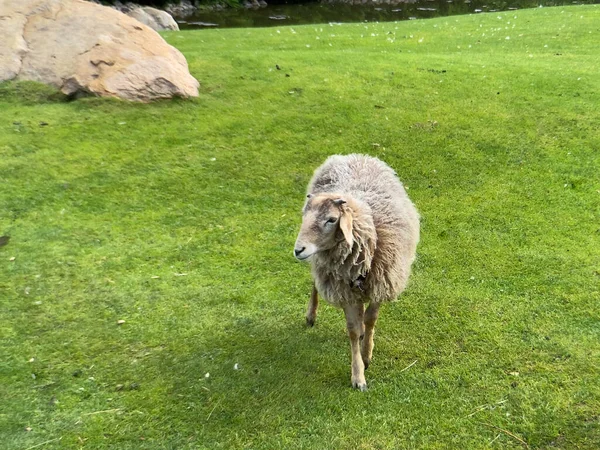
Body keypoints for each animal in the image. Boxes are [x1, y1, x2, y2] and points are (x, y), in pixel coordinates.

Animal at [294, 155, 418, 390]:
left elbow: (370, 319)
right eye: (304, 216)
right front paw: (358, 376)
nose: (298, 250)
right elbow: (352, 329)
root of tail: (348, 155)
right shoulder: (345, 292)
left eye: (332, 219)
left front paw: (367, 354)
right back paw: (311, 315)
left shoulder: (381, 284)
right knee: (315, 284)